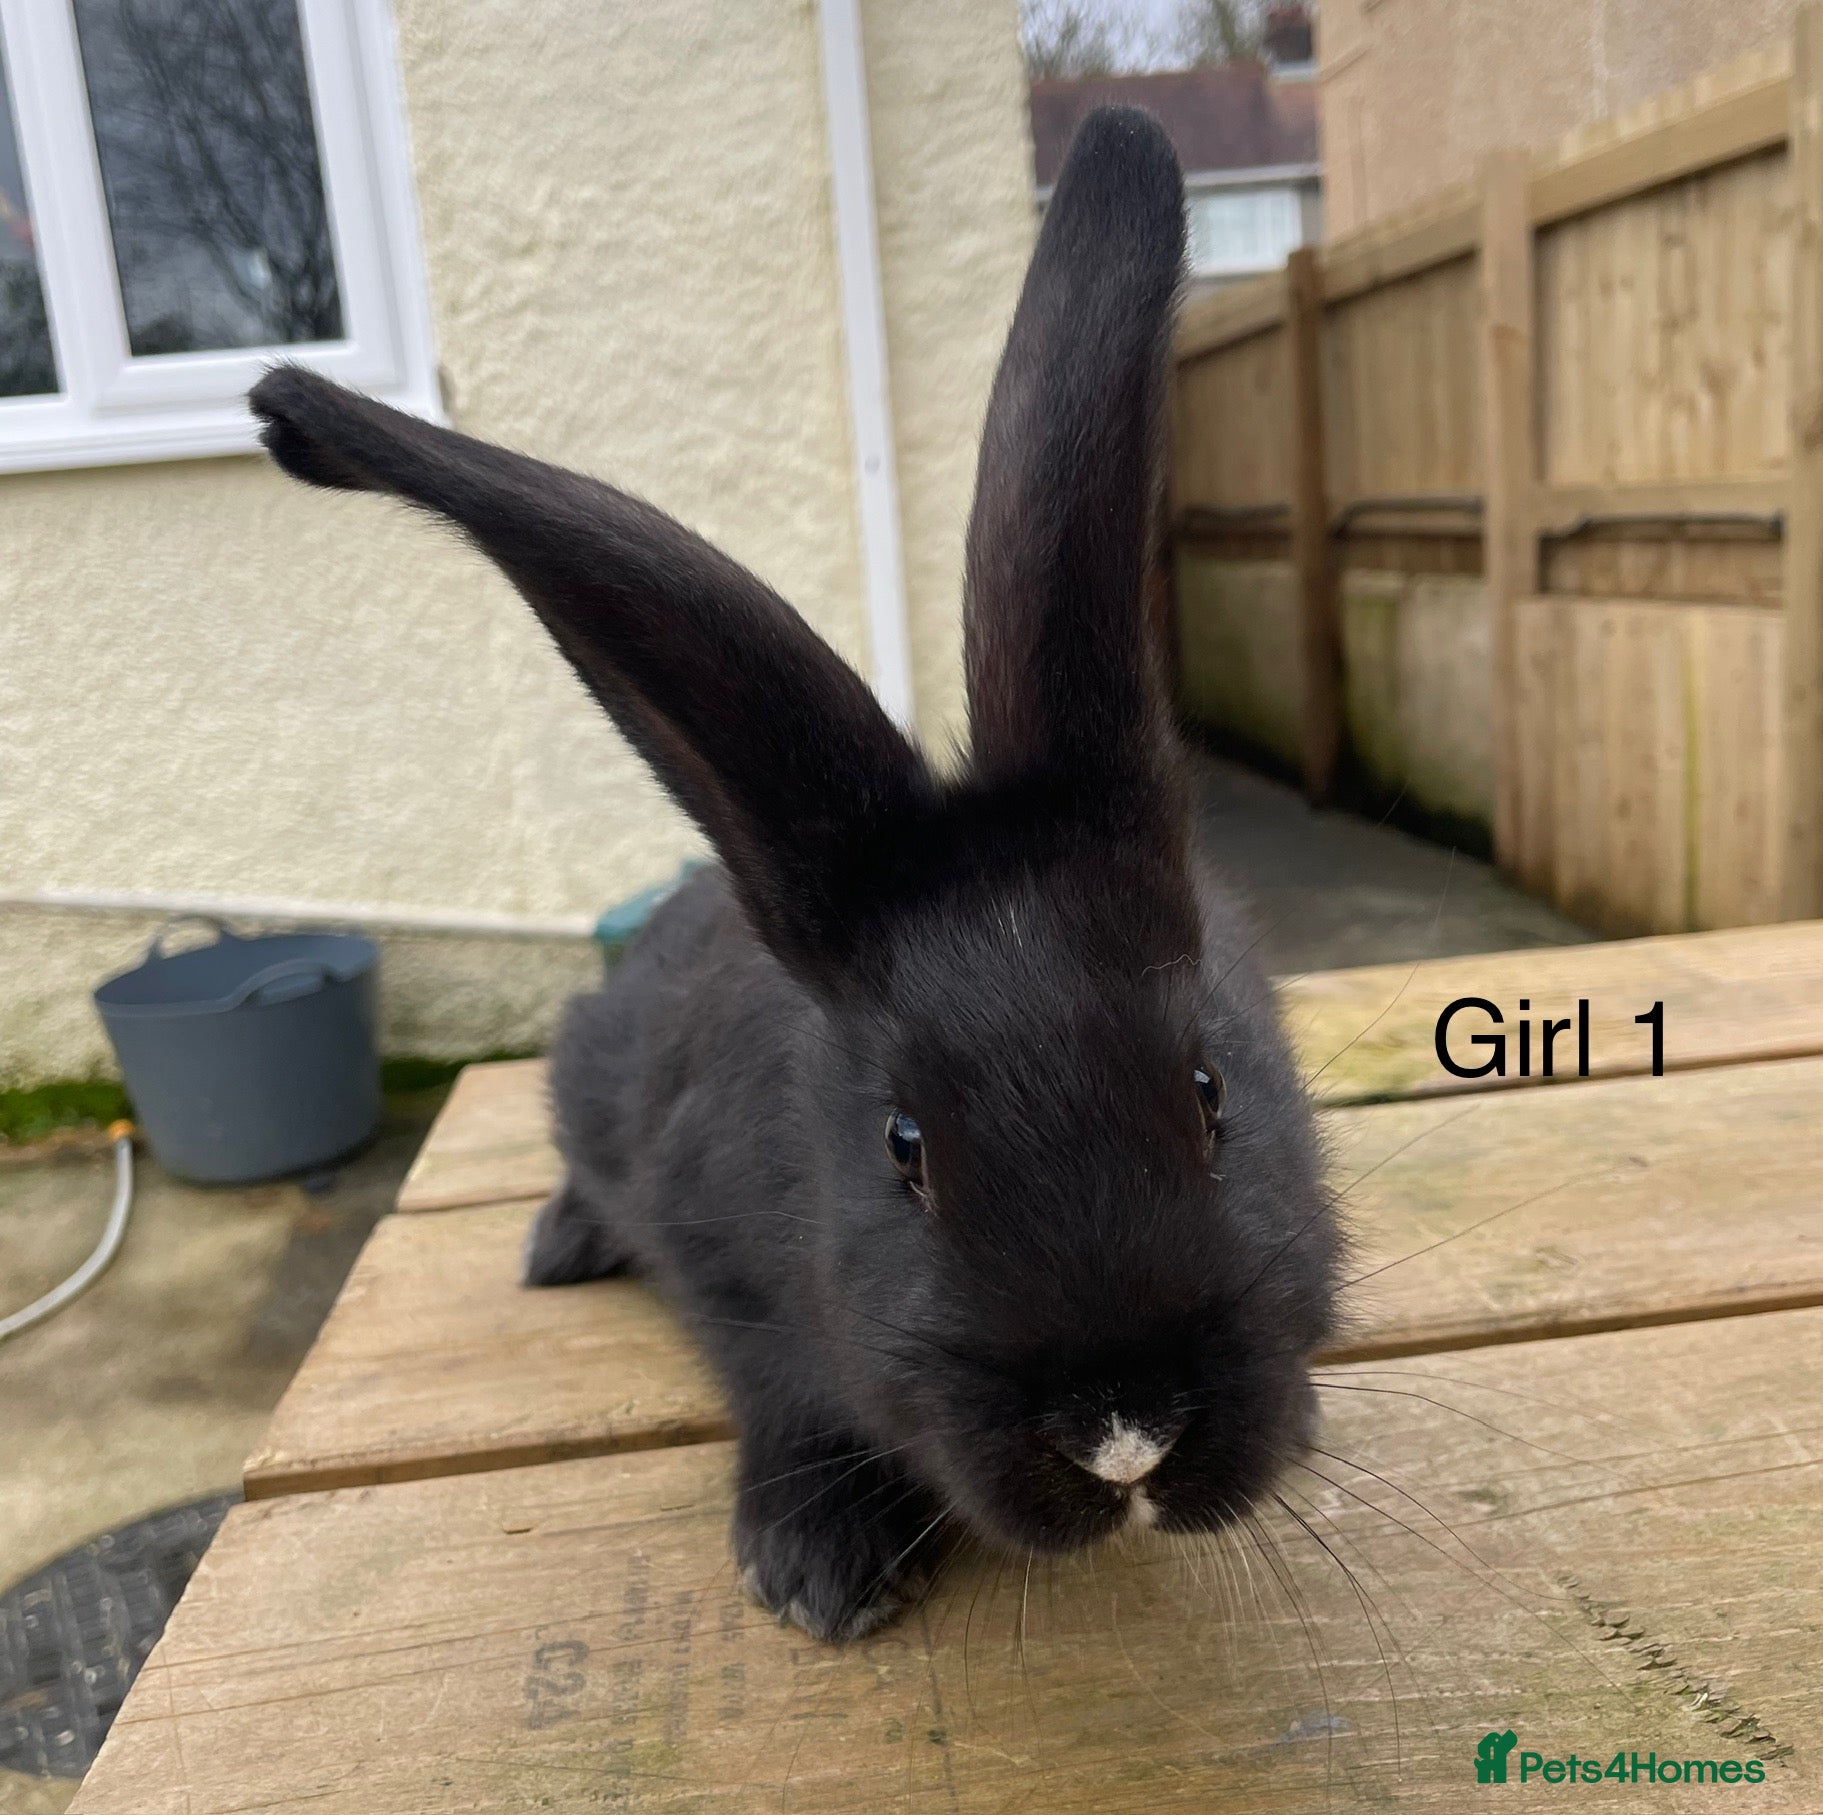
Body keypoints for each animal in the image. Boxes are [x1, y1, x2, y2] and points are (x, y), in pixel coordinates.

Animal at [249, 105, 1339, 1644]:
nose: (1125, 1434)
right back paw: (556, 1248)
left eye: (1207, 1091)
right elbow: (779, 1389)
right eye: (903, 1147)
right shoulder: (724, 1264)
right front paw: (817, 1566)